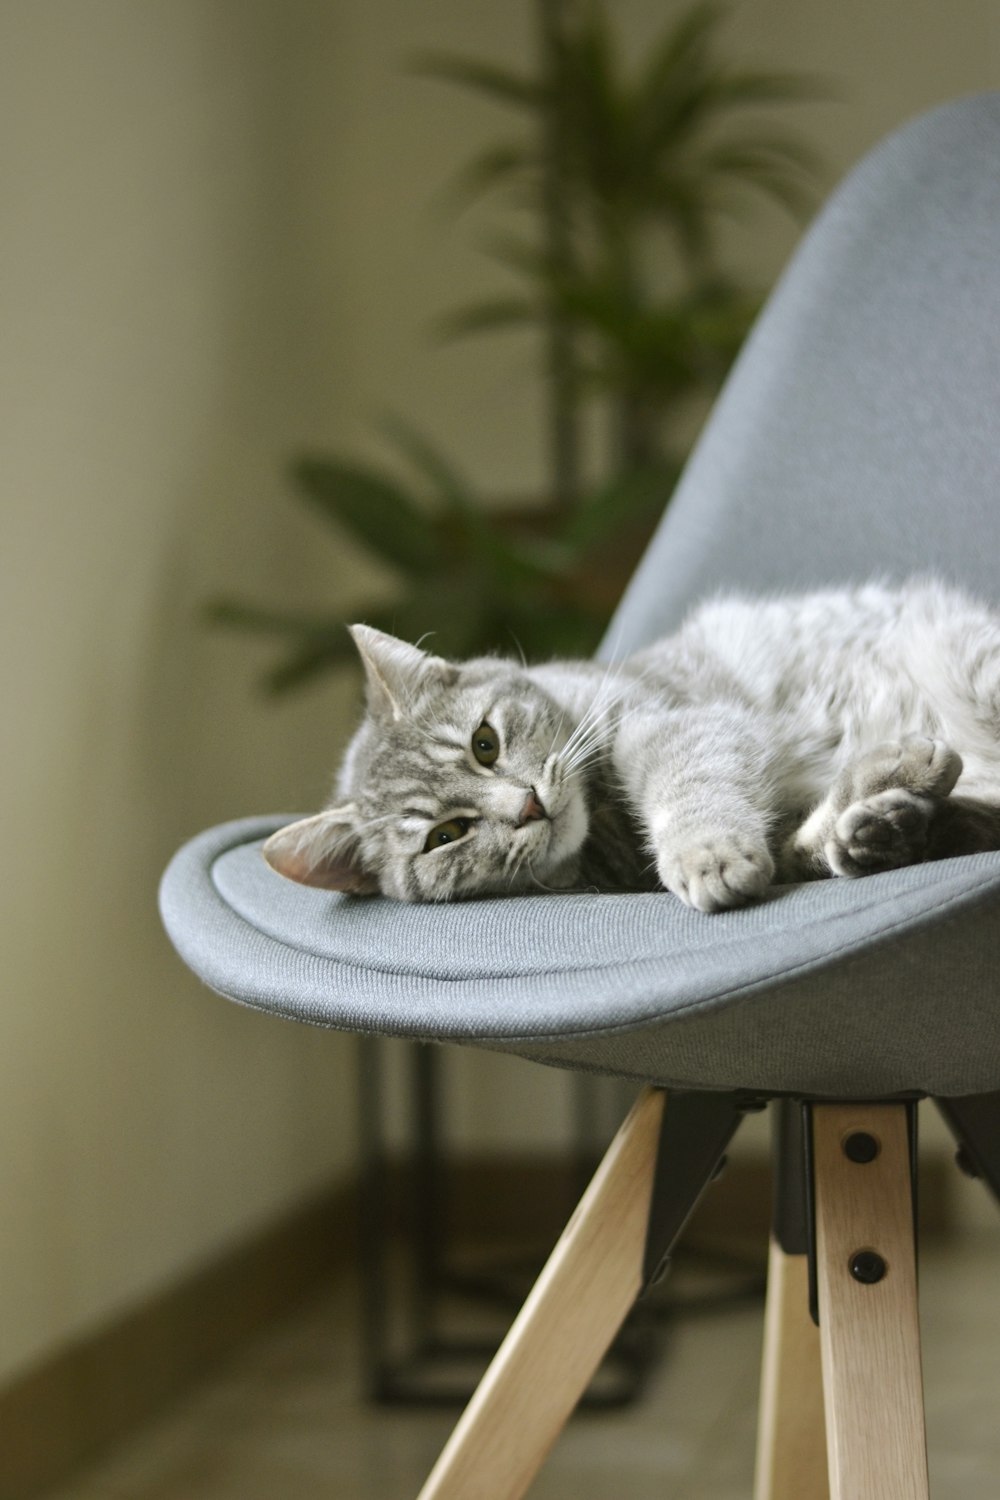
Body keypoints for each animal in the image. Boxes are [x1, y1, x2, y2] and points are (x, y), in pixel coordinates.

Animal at [263, 576, 1000, 906]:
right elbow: (801, 842)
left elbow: (690, 790)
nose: (527, 806)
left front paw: (706, 851)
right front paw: (884, 800)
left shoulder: (675, 721)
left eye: (485, 744)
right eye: (445, 836)